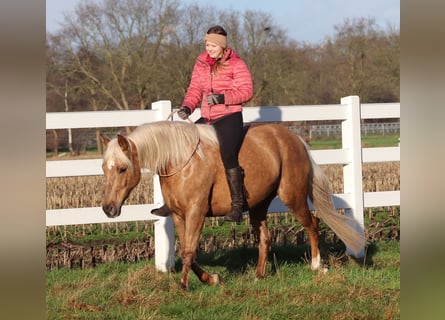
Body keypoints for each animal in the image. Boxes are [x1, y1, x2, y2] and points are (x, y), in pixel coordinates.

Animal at [100, 120, 364, 290]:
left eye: (122, 168)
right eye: (104, 168)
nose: (108, 209)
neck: (180, 161)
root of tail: (295, 139)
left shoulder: (196, 212)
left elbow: (188, 251)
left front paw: (184, 285)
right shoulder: (178, 215)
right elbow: (186, 251)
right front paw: (212, 279)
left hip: (293, 197)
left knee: (313, 223)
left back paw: (317, 265)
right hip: (259, 205)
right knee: (266, 238)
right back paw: (259, 276)